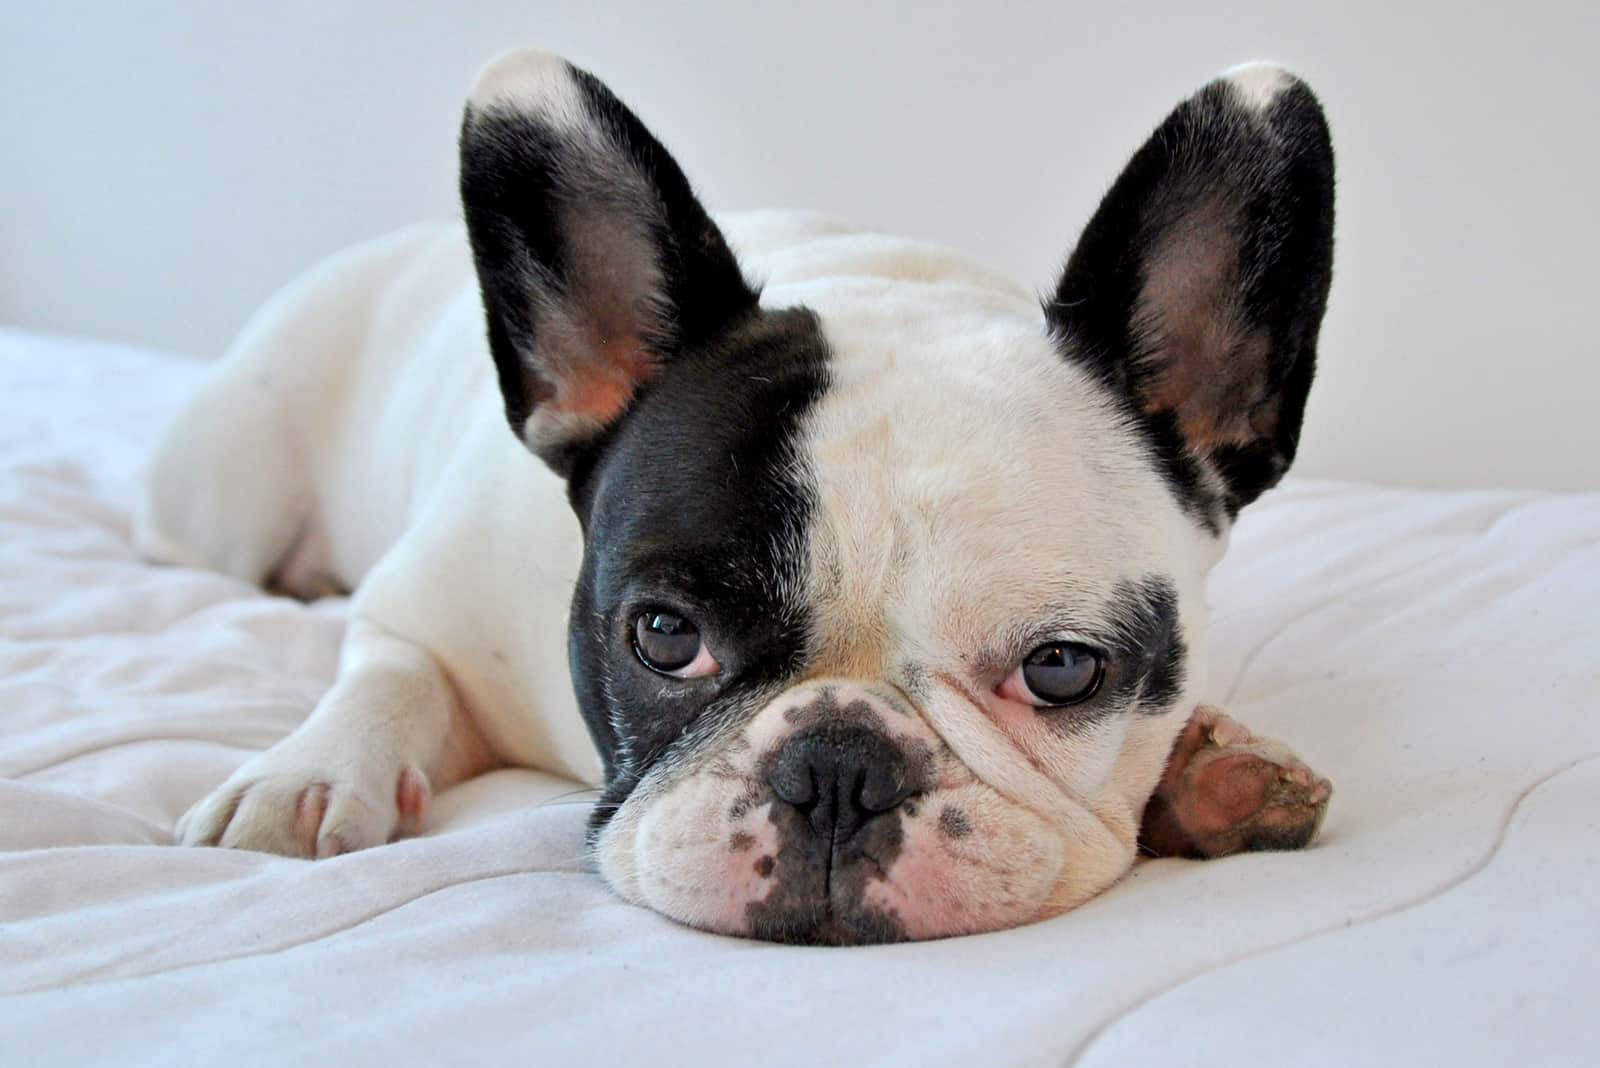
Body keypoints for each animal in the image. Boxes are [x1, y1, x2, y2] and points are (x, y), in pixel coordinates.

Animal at [137, 49, 1337, 940]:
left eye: (1062, 670)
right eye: (665, 637)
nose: (837, 771)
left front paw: (1215, 768)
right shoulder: (421, 608)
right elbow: (386, 678)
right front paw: (304, 776)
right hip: (228, 487)